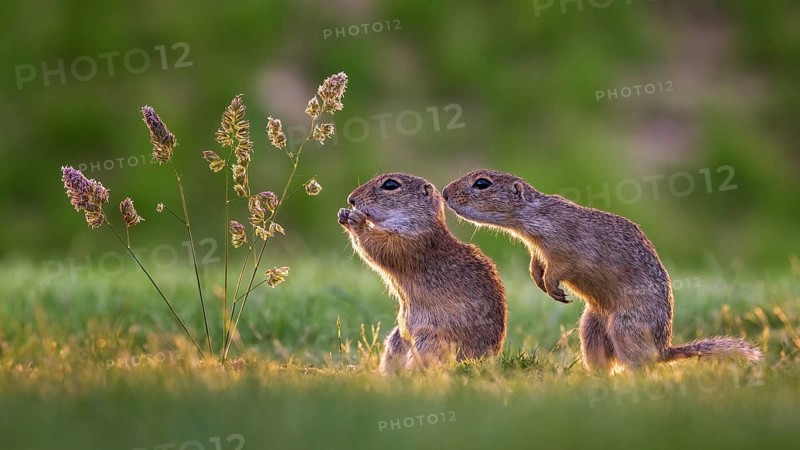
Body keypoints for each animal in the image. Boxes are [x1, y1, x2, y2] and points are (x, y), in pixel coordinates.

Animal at [338, 173, 508, 374]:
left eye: (390, 185)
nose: (351, 199)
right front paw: (343, 214)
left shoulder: (412, 239)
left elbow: (382, 245)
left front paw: (357, 220)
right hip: (396, 339)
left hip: (430, 341)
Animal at [441, 169, 762, 371]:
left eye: (482, 183)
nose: (444, 192)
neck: (533, 218)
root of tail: (663, 350)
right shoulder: (538, 250)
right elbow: (537, 265)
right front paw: (538, 280)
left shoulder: (566, 247)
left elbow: (560, 267)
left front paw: (553, 288)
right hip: (591, 327)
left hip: (625, 327)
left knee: (639, 365)